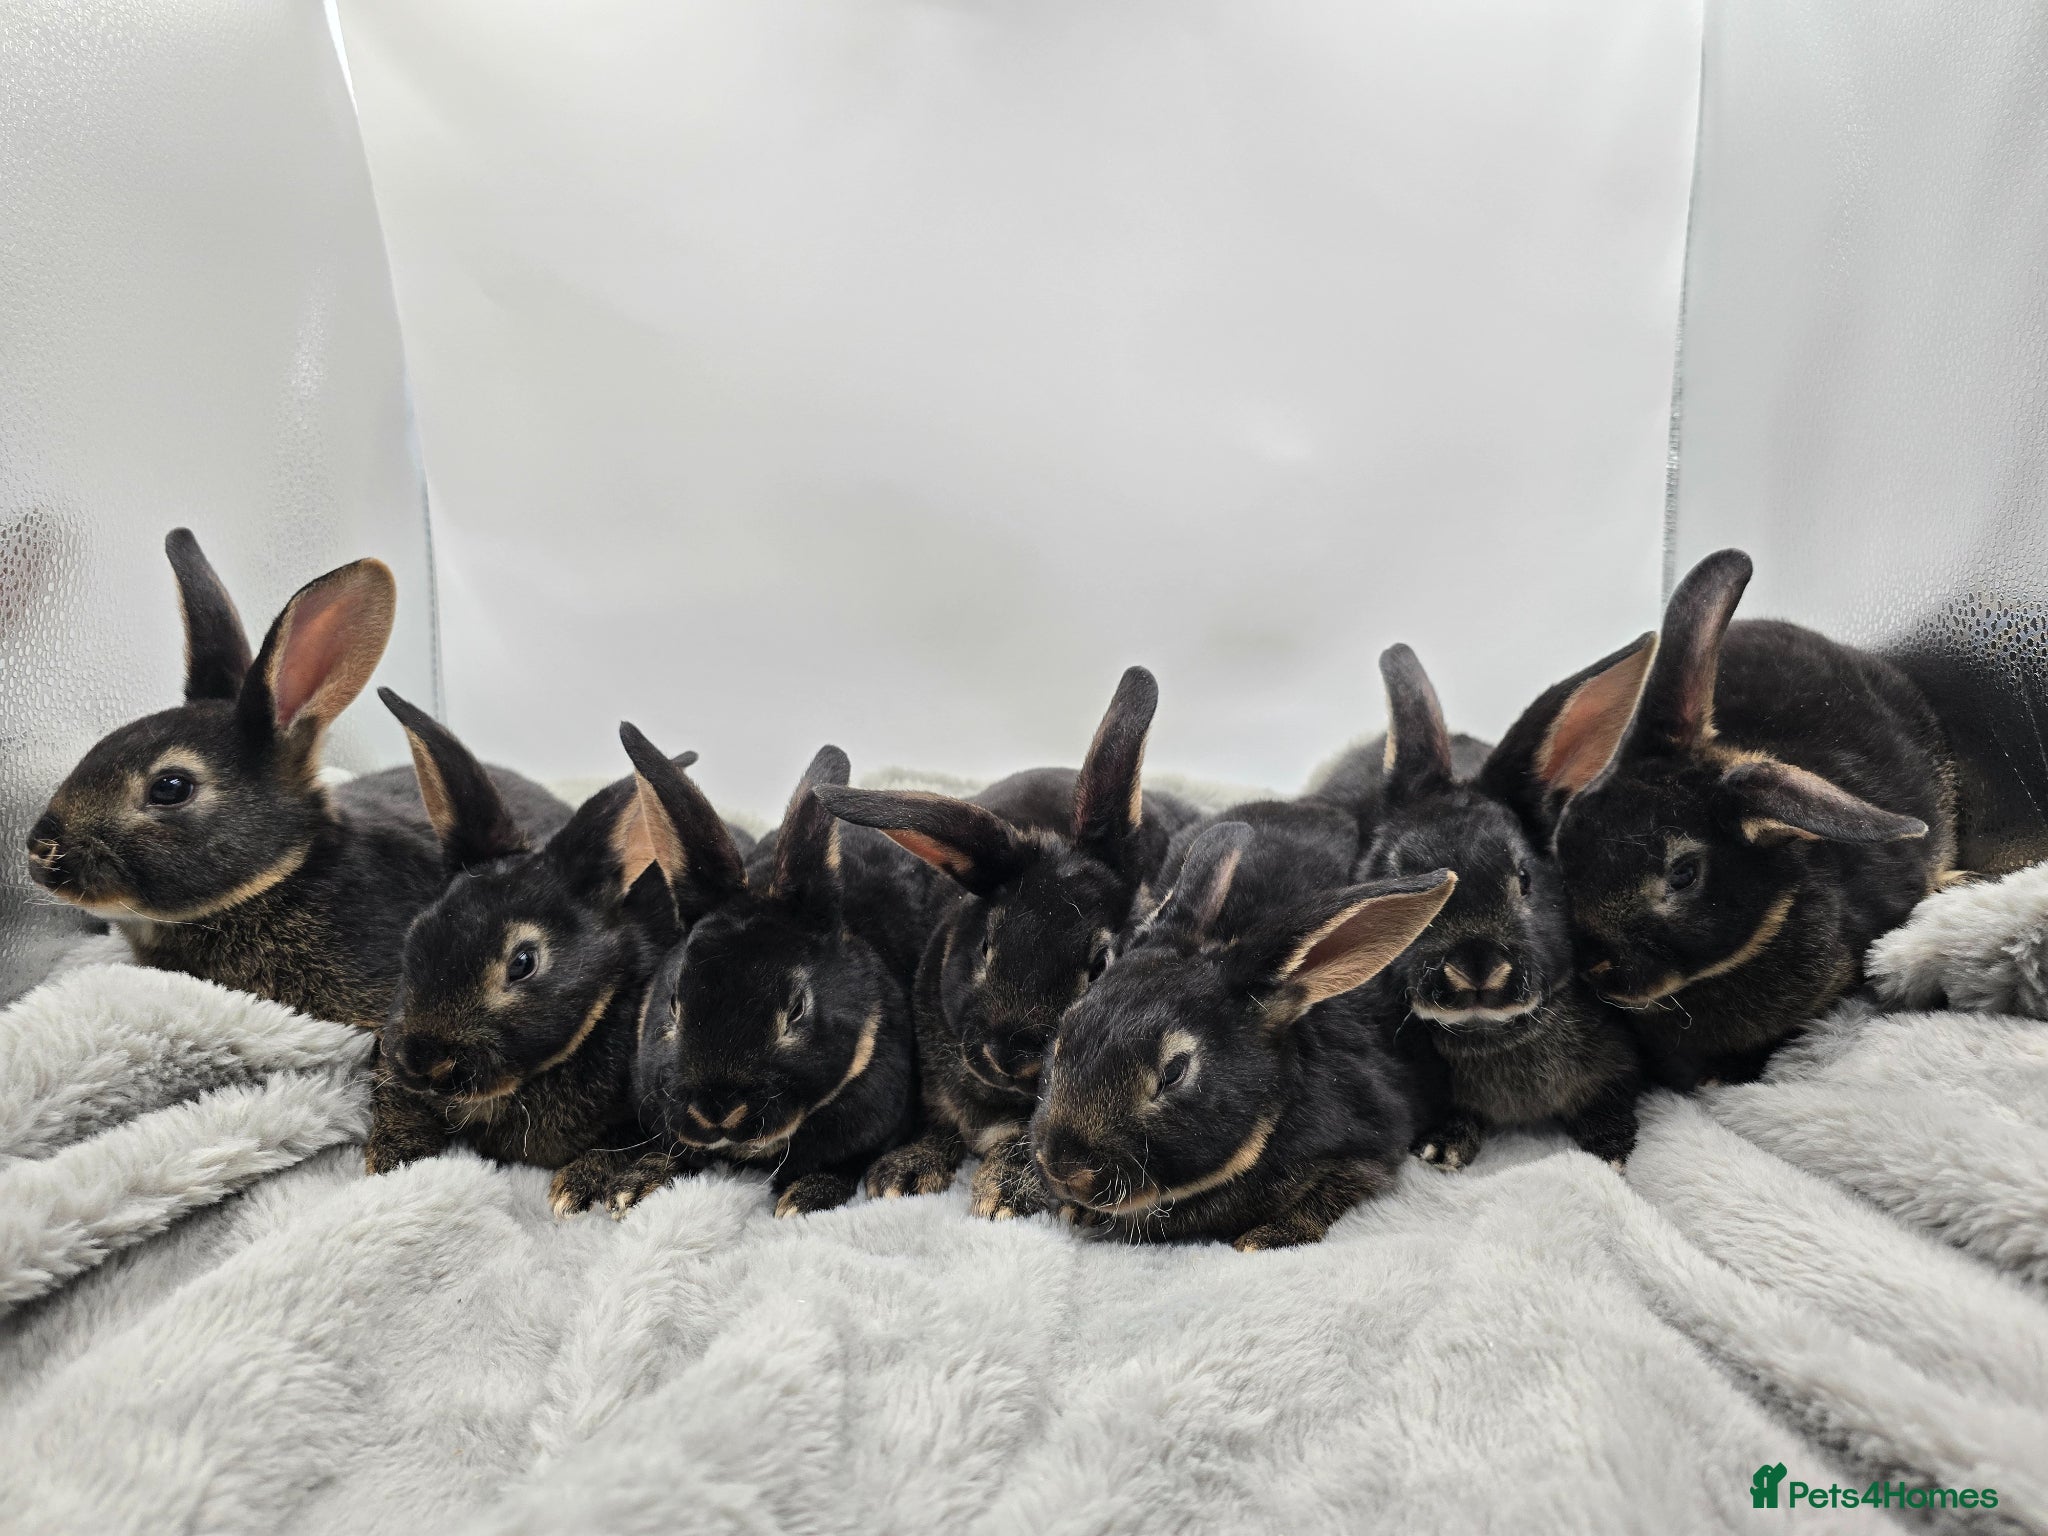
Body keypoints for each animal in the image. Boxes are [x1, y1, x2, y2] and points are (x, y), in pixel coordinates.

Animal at [614, 729, 933, 1218]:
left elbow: (841, 1165)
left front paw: (804, 1199)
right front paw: (633, 1185)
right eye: (673, 1004)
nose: (717, 1110)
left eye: (797, 1010)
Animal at [812, 666, 1201, 1219]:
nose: (1011, 1056)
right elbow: (940, 1121)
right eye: (986, 946)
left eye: (1101, 963)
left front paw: (1004, 1196)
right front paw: (903, 1175)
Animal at [1029, 815, 1456, 1249]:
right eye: (1064, 1033)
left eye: (1174, 1072)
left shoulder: (1370, 1145)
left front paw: (1264, 1239)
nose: (1065, 1168)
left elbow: (1330, 1194)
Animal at [1357, 644, 1642, 1170]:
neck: (1490, 1032)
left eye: (1525, 879)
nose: (1476, 966)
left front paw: (1610, 1150)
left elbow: (1610, 1098)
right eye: (1400, 883)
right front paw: (1442, 1148)